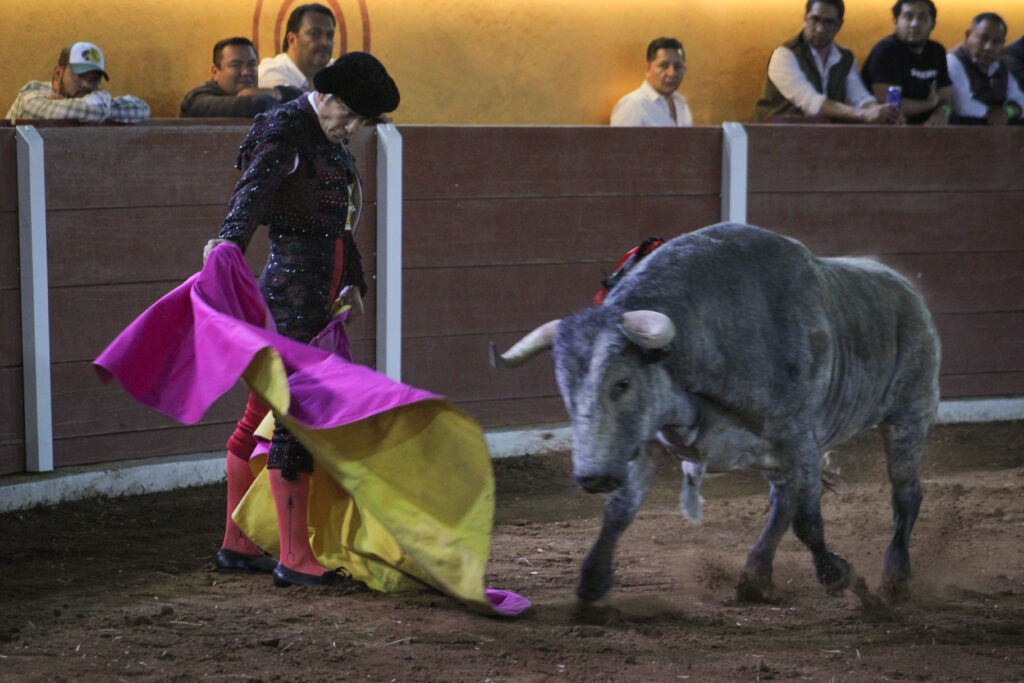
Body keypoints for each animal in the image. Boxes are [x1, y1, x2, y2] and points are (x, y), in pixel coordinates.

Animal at [491, 223, 937, 602]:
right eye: (565, 388)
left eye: (622, 383)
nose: (592, 476)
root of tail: (908, 293)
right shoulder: (645, 442)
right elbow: (619, 511)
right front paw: (592, 581)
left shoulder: (799, 442)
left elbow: (809, 521)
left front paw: (839, 574)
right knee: (782, 501)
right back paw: (755, 575)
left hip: (909, 417)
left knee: (905, 494)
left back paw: (897, 578)